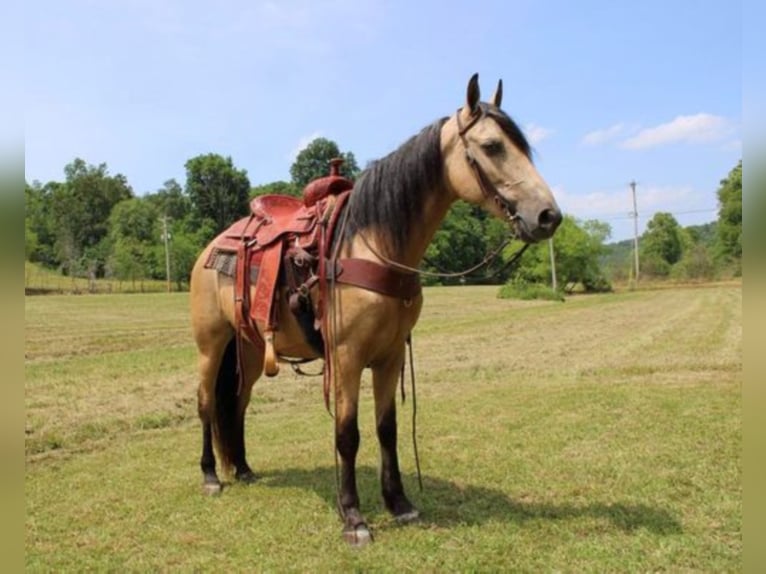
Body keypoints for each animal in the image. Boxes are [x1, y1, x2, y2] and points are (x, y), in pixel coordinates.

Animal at [190, 74, 564, 548]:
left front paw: (399, 503)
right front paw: (353, 517)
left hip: (251, 350)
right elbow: (347, 434)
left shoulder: (390, 356)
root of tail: (213, 247)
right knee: (206, 403)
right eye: (493, 146)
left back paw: (242, 468)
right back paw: (210, 477)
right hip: (211, 345)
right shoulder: (347, 358)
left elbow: (388, 429)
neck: (372, 246)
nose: (548, 216)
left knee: (236, 404)